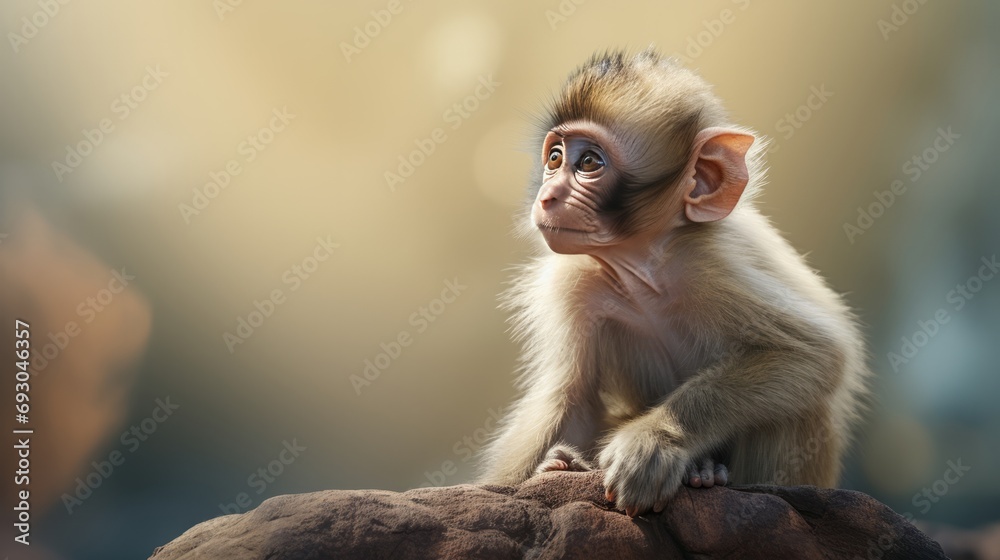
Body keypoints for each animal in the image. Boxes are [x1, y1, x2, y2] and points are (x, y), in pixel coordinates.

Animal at [477, 49, 870, 518]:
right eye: (554, 157)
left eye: (588, 163)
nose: (547, 195)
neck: (643, 269)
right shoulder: (574, 283)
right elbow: (571, 394)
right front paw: (536, 472)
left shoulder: (709, 265)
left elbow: (813, 353)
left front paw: (655, 441)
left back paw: (706, 473)